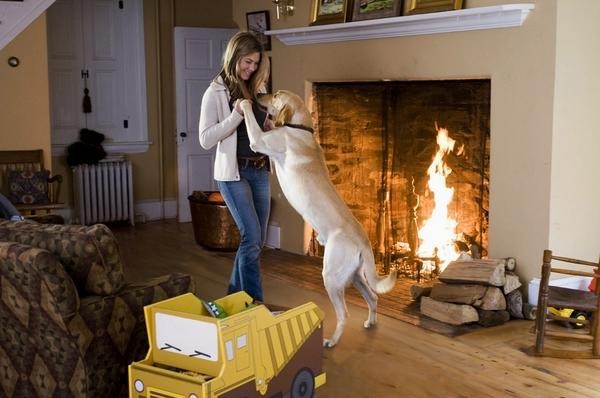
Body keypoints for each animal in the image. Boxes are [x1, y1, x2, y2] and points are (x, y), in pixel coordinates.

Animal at [239, 91, 398, 348]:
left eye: (275, 95)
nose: (258, 94)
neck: (300, 128)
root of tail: (364, 242)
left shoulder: (260, 141)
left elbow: (253, 126)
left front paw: (243, 103)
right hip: (355, 276)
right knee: (373, 297)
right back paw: (370, 323)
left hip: (331, 277)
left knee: (344, 314)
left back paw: (331, 341)